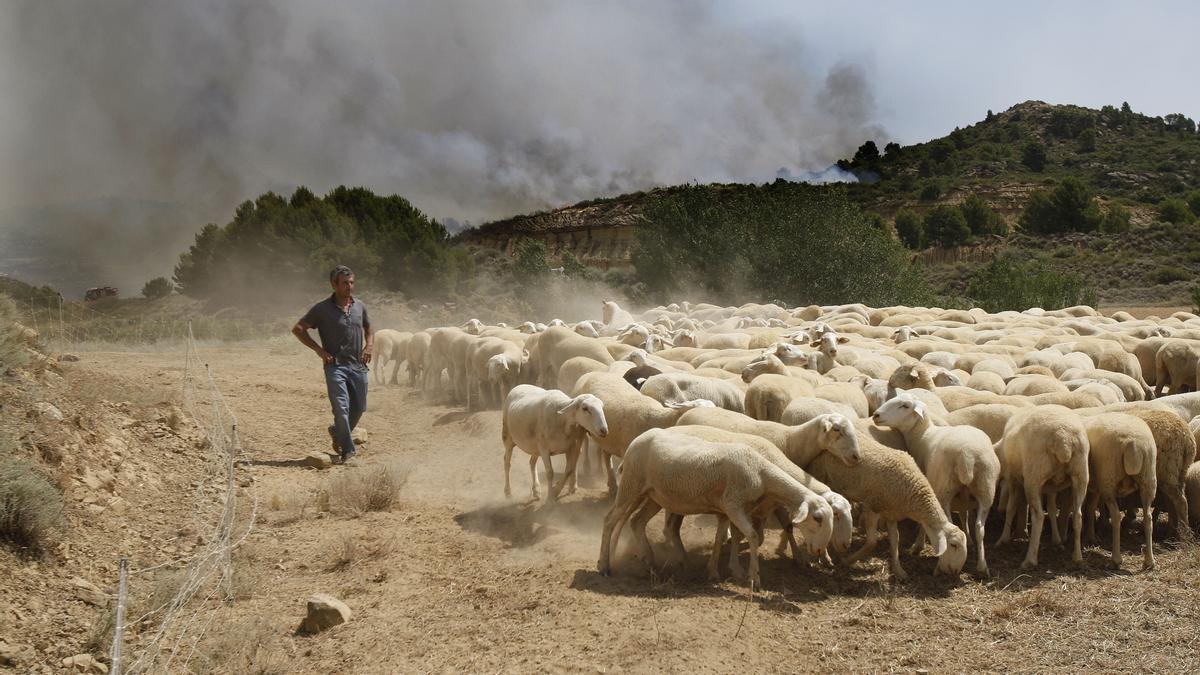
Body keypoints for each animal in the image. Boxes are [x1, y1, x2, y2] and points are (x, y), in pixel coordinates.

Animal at [600, 427, 835, 586]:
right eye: (817, 518)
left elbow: (721, 537)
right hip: (631, 485)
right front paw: (753, 578)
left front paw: (714, 571)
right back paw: (604, 565)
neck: (762, 472)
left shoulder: (726, 510)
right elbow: (751, 536)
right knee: (610, 519)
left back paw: (650, 560)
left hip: (654, 496)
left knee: (636, 521)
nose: (818, 551)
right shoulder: (733, 505)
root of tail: (636, 440)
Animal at [873, 389, 1003, 571]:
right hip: (986, 488)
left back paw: (941, 565)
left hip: (944, 489)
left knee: (949, 523)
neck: (922, 435)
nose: (876, 415)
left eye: (905, 406)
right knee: (980, 528)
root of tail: (967, 455)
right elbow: (964, 514)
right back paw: (982, 566)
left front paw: (918, 545)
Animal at [993, 403, 1089, 566]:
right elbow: (1051, 509)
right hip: (1081, 474)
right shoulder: (1052, 487)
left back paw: (1030, 559)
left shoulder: (1013, 480)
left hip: (1033, 477)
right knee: (1077, 516)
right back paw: (1077, 557)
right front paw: (1057, 540)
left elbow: (1011, 508)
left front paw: (1002, 539)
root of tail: (1064, 439)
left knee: (1038, 516)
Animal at [1084, 413, 1156, 564]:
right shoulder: (1095, 487)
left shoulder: (1095, 486)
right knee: (1148, 517)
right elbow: (1091, 508)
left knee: (1116, 516)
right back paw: (1149, 561)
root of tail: (1133, 443)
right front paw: (1091, 536)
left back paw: (1116, 559)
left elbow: (1089, 508)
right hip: (1148, 478)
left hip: (1108, 479)